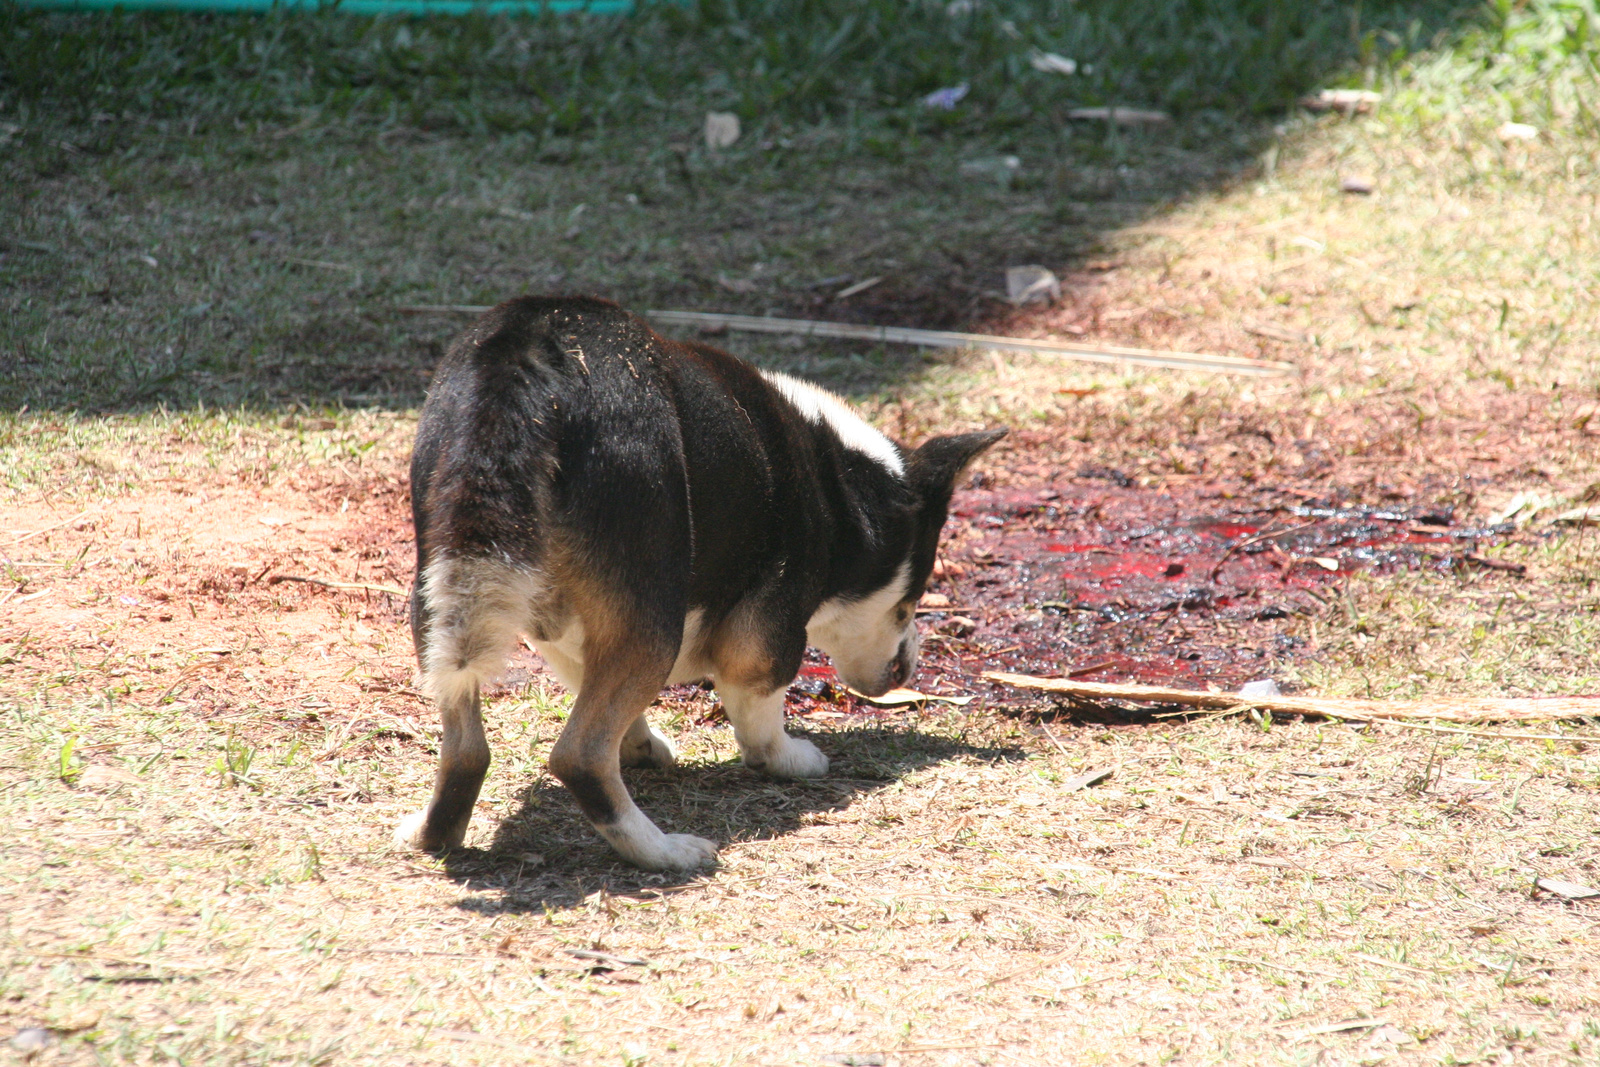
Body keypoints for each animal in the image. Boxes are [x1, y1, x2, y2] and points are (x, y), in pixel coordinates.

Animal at [396, 295, 998, 870]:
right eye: (909, 602)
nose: (906, 672)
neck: (838, 483)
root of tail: (524, 360)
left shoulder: (571, 637)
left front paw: (640, 745)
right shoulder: (768, 630)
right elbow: (761, 711)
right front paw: (787, 758)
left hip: (441, 594)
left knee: (467, 748)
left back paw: (434, 834)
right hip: (653, 618)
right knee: (580, 755)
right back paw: (663, 852)